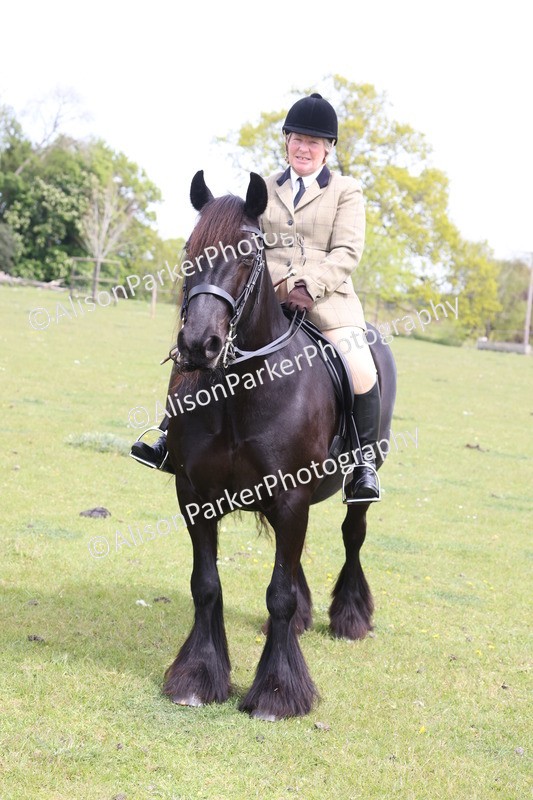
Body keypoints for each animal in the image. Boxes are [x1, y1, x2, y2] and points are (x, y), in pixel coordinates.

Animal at [161, 170, 397, 720]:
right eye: (189, 248)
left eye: (250, 252)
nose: (198, 346)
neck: (240, 388)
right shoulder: (195, 495)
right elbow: (206, 586)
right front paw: (197, 677)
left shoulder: (290, 496)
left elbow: (279, 594)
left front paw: (277, 691)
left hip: (357, 482)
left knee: (353, 536)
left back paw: (350, 616)